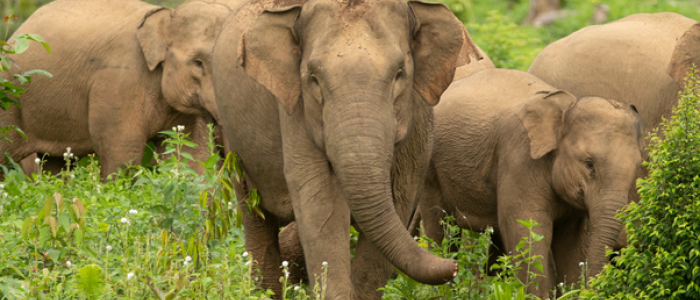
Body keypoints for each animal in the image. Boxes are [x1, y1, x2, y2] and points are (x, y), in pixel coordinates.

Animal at [0, 0, 230, 179]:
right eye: (198, 63)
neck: (165, 15)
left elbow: (191, 155)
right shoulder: (119, 84)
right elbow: (122, 154)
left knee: (56, 163)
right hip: (10, 101)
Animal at [212, 0, 482, 298]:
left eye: (400, 73)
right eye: (314, 78)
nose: (453, 266)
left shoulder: (419, 113)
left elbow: (401, 192)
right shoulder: (295, 112)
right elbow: (321, 199)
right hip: (232, 141)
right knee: (256, 217)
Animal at [416, 68, 644, 298]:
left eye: (636, 167)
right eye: (589, 164)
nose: (590, 290)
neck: (566, 106)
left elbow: (570, 242)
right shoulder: (519, 160)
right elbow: (527, 232)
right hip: (429, 166)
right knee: (441, 227)